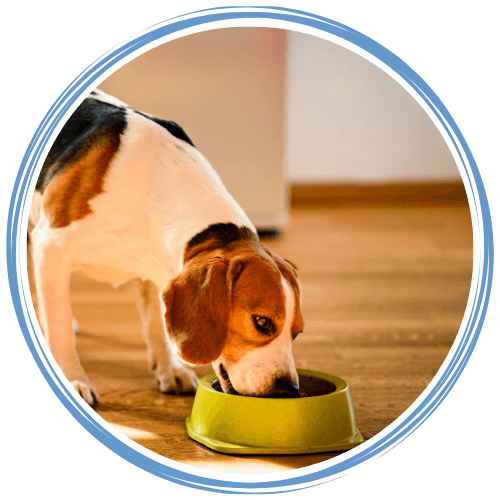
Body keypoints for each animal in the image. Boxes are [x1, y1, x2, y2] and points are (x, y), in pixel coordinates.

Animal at [29, 90, 306, 406]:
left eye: (297, 332)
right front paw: (74, 379)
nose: (289, 390)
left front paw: (169, 369)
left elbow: (156, 324)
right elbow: (61, 328)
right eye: (262, 322)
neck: (154, 187)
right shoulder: (51, 246)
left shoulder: (155, 266)